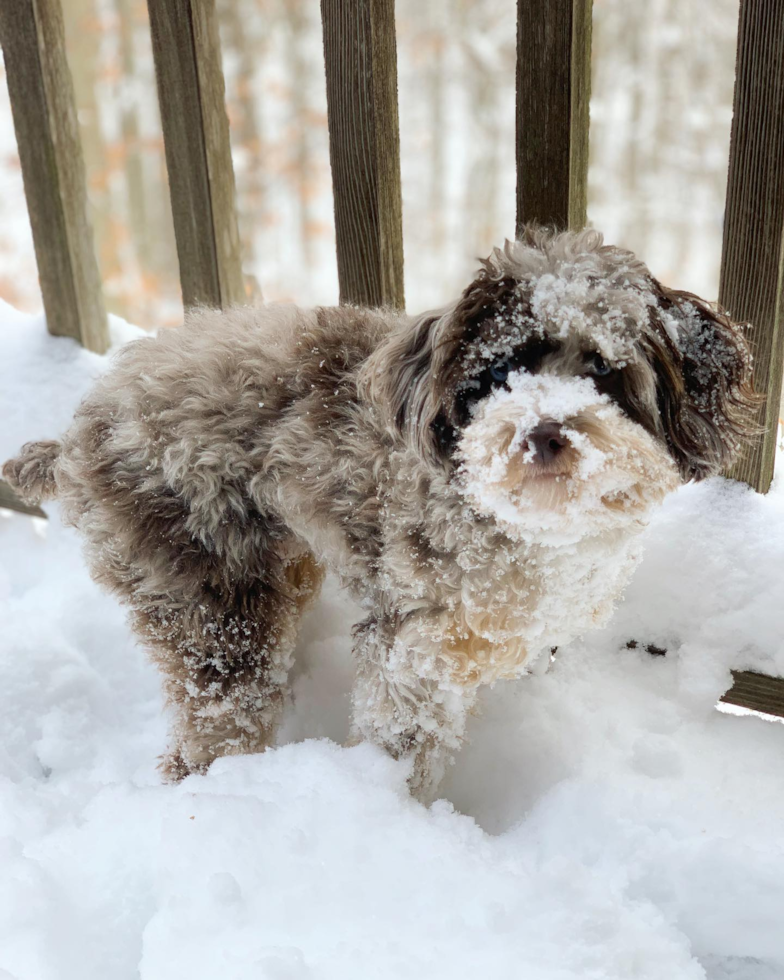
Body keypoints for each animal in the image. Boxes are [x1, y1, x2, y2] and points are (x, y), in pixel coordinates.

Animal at [3, 232, 756, 804]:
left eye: (604, 371)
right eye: (500, 372)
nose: (542, 433)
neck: (527, 528)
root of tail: (77, 433)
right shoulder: (414, 650)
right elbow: (405, 747)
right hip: (211, 600)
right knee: (211, 724)